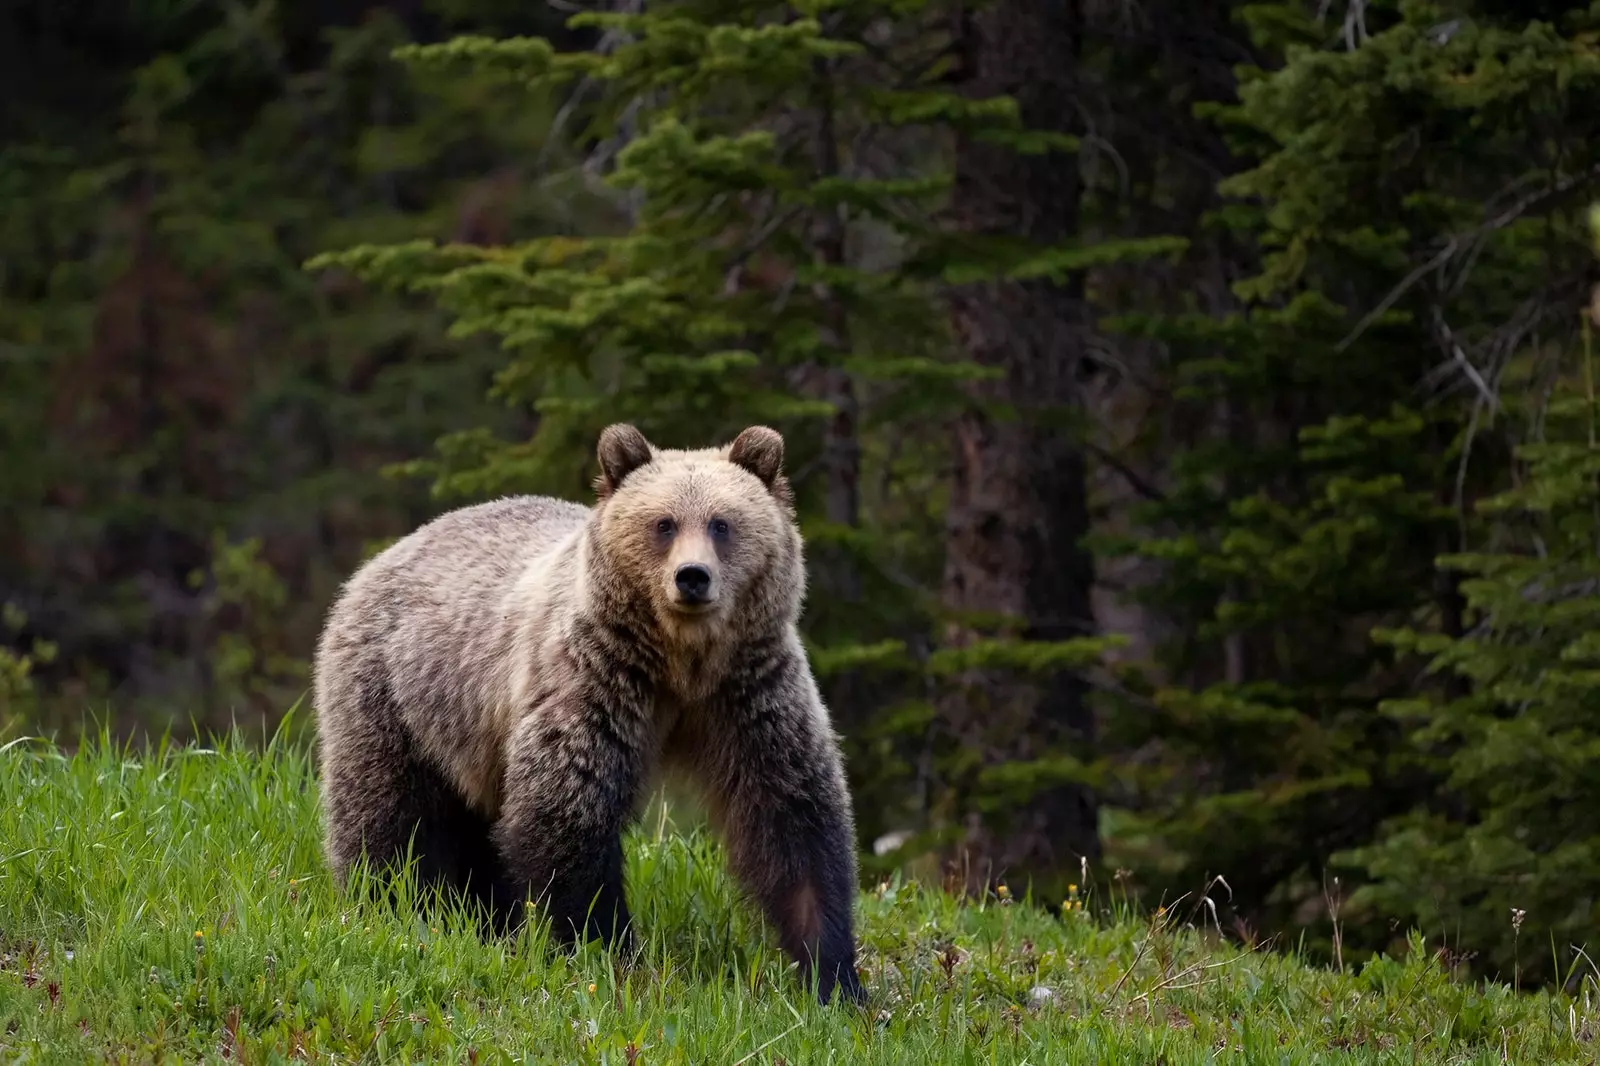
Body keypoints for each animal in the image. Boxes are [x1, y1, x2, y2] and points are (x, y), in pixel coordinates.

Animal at [310, 422, 864, 998]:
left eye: (721, 523)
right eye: (664, 523)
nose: (692, 577)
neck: (681, 664)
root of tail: (387, 554)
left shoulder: (750, 695)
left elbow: (793, 817)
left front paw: (834, 977)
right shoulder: (595, 683)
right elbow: (567, 813)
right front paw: (609, 949)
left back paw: (487, 924)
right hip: (401, 694)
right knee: (390, 815)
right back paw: (393, 908)